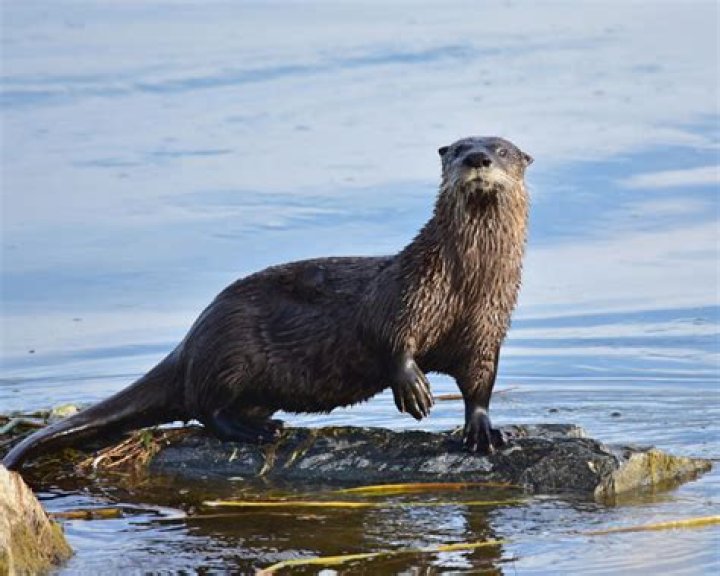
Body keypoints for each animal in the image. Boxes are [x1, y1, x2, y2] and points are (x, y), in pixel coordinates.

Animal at [3, 136, 532, 470]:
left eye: (502, 150)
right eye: (458, 148)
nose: (478, 158)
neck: (464, 285)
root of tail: (191, 339)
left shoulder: (487, 326)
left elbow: (480, 381)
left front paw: (484, 431)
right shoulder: (408, 293)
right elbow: (389, 337)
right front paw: (414, 388)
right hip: (231, 349)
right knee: (205, 409)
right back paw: (256, 431)